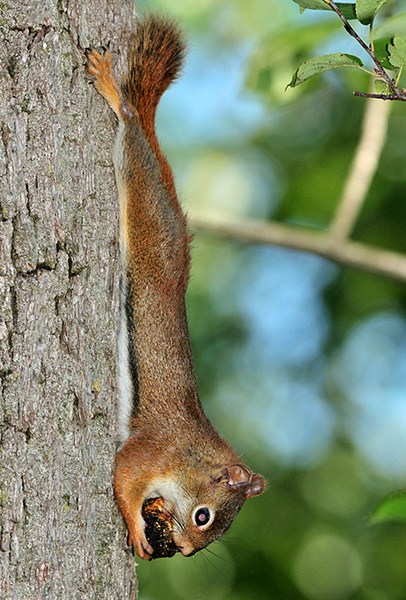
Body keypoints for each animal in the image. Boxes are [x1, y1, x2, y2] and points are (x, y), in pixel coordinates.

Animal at [85, 16, 264, 564]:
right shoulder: (151, 451)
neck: (189, 457)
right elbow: (122, 476)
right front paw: (137, 528)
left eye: (217, 533)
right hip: (142, 196)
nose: (184, 549)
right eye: (204, 516)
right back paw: (113, 90)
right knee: (130, 128)